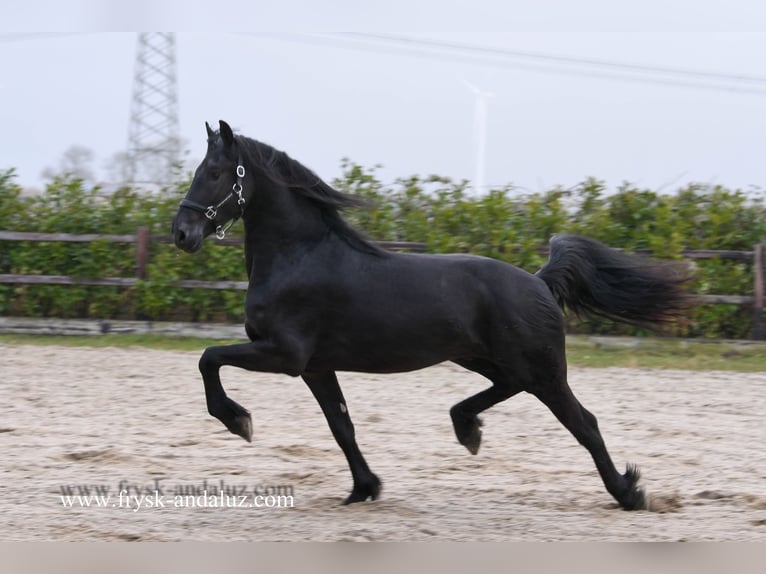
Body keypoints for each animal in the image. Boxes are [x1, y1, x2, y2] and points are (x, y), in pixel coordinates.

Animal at [172, 121, 688, 512]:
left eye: (215, 172)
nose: (181, 233)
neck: (299, 257)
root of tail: (540, 281)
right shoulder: (316, 367)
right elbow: (342, 427)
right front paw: (364, 489)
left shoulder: (284, 355)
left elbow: (208, 357)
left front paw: (238, 420)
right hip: (487, 359)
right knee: (510, 389)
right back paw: (467, 427)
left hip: (542, 370)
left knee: (585, 423)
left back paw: (629, 493)